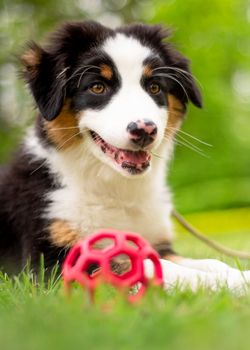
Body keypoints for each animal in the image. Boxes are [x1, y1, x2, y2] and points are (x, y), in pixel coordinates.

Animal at [0, 20, 249, 292]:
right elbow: (144, 264)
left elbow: (209, 262)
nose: (145, 130)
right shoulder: (48, 260)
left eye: (154, 87)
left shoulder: (158, 242)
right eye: (97, 87)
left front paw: (239, 276)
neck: (114, 188)